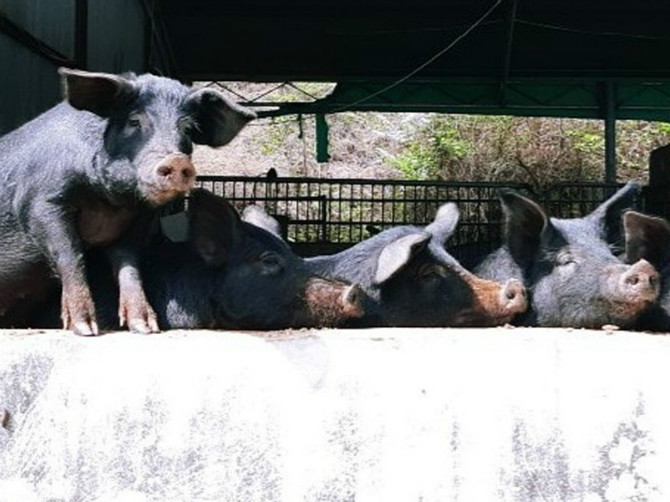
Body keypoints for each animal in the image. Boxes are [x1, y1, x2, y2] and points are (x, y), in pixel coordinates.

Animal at [0, 66, 255, 334]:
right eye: (134, 121)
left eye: (186, 128)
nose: (176, 160)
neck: (110, 202)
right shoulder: (40, 202)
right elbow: (71, 255)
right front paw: (85, 329)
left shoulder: (137, 222)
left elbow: (129, 266)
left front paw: (144, 327)